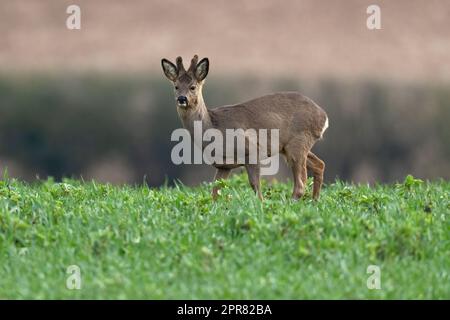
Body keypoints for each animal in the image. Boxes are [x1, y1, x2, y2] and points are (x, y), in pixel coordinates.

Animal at [161, 55, 326, 200]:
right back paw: (314, 201)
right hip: (290, 146)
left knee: (300, 184)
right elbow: (215, 193)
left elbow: (255, 187)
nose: (182, 99)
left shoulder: (252, 151)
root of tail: (323, 116)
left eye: (193, 87)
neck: (214, 126)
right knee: (319, 165)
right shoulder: (223, 165)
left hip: (297, 142)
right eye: (176, 86)